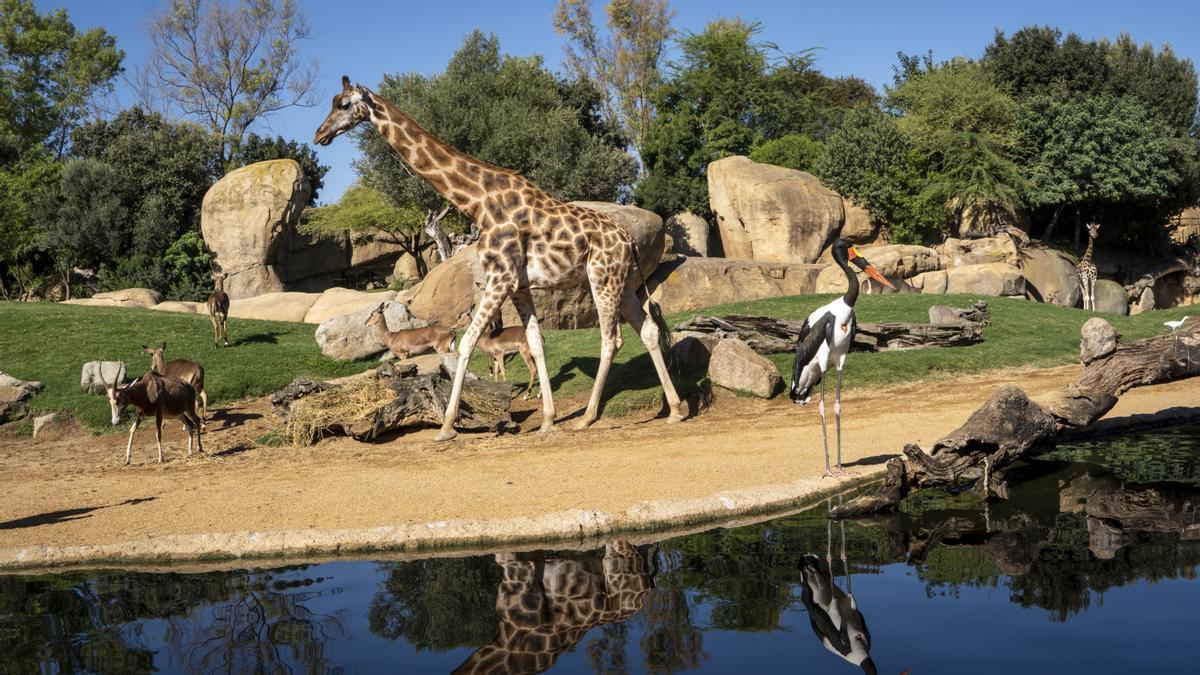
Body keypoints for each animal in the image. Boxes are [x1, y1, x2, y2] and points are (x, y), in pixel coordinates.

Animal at [312, 74, 686, 441]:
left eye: (342, 104)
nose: (319, 134)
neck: (477, 201)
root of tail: (628, 240)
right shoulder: (519, 285)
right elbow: (535, 342)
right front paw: (548, 419)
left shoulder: (500, 276)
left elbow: (466, 343)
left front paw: (447, 427)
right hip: (625, 283)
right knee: (648, 330)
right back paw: (676, 410)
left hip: (602, 279)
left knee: (612, 339)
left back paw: (588, 417)